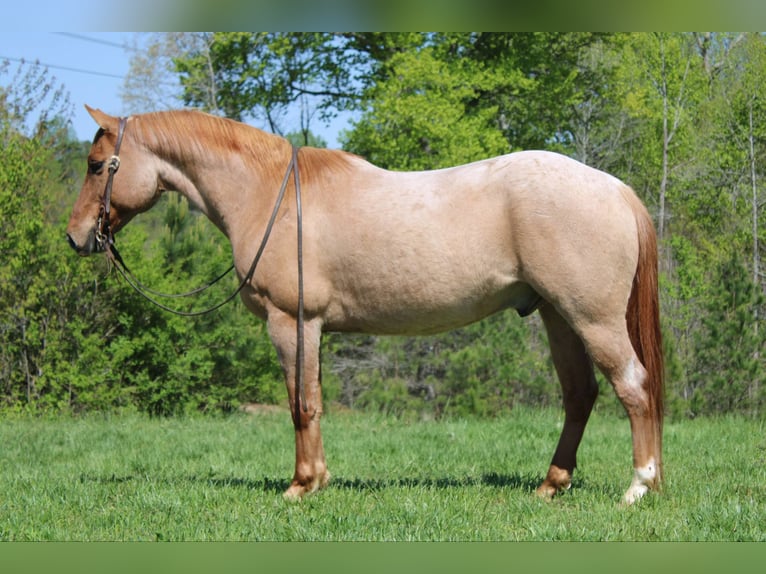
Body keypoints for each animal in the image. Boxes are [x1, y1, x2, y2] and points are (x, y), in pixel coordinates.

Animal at [66, 106, 664, 505]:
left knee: (633, 387)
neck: (266, 194)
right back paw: (551, 485)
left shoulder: (292, 324)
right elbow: (313, 401)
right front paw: (317, 479)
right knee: (580, 395)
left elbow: (300, 404)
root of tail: (614, 189)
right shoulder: (311, 329)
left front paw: (301, 485)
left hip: (592, 319)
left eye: (97, 164)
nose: (76, 237)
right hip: (558, 316)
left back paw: (639, 487)